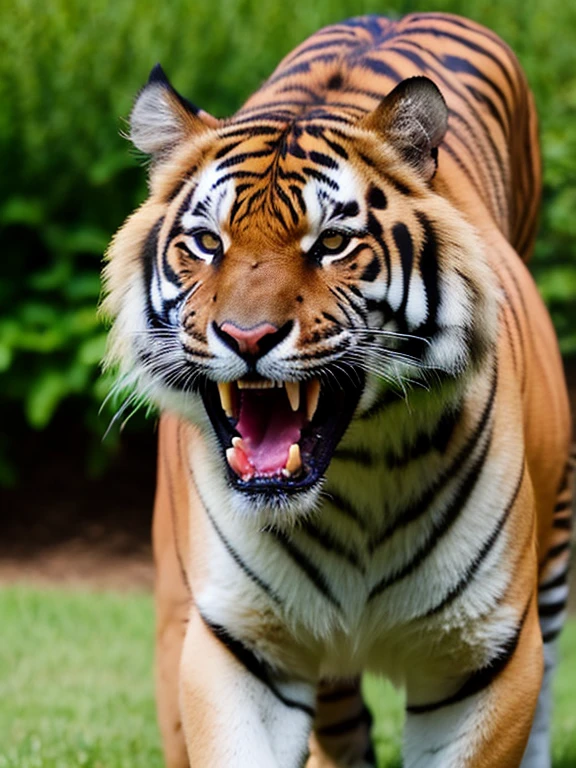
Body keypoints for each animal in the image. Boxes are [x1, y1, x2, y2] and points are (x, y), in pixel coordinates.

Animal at [102, 12, 572, 768]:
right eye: (206, 243)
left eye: (330, 244)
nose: (247, 337)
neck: (357, 475)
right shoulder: (241, 645)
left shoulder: (483, 659)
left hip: (553, 556)